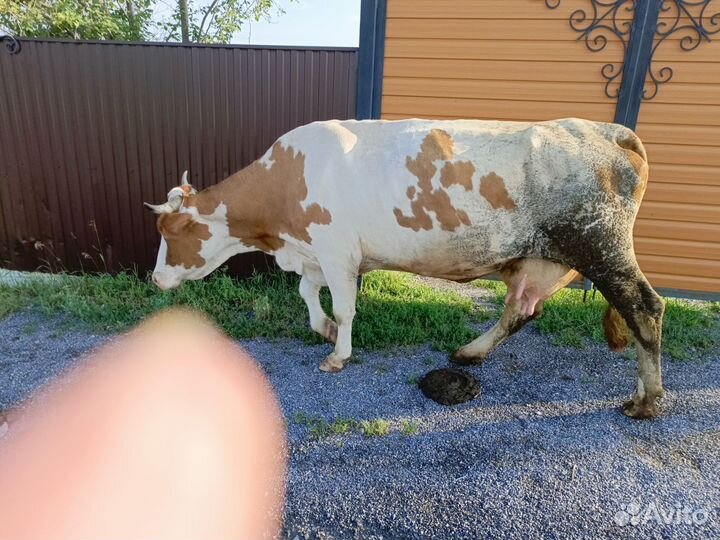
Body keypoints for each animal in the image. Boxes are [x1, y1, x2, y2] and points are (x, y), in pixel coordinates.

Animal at [145, 118, 665, 419]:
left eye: (172, 232)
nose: (156, 277)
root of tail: (606, 130)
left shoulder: (337, 250)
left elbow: (345, 307)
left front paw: (338, 353)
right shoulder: (314, 252)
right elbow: (308, 295)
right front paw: (323, 329)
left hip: (599, 244)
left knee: (645, 307)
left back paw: (647, 400)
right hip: (543, 259)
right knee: (521, 310)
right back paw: (470, 352)